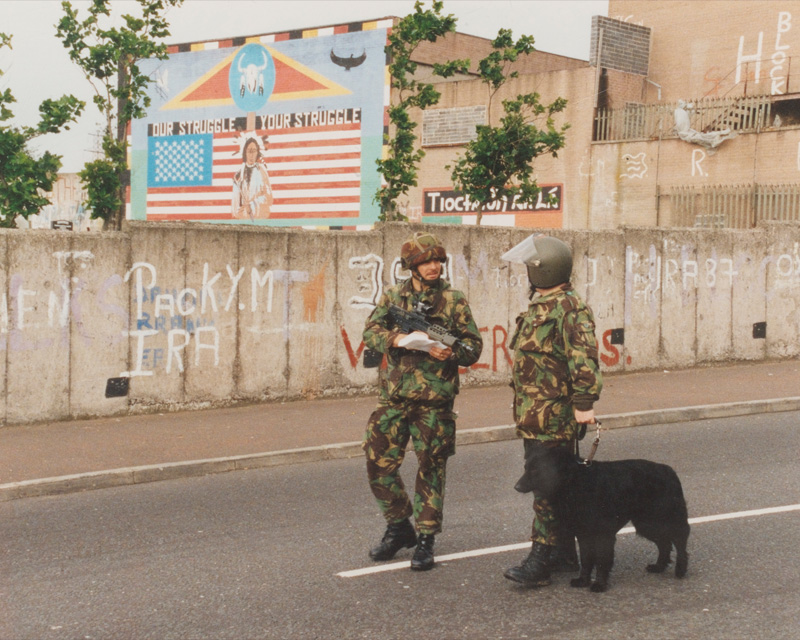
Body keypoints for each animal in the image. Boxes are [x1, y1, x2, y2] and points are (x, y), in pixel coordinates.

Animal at [516, 442, 692, 592]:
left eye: (536, 470)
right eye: (525, 468)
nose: (516, 487)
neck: (574, 482)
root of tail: (669, 471)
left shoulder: (603, 535)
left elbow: (601, 561)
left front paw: (599, 584)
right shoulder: (583, 534)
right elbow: (586, 560)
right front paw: (583, 581)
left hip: (662, 520)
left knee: (680, 541)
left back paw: (680, 569)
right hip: (647, 524)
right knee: (665, 544)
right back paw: (659, 566)